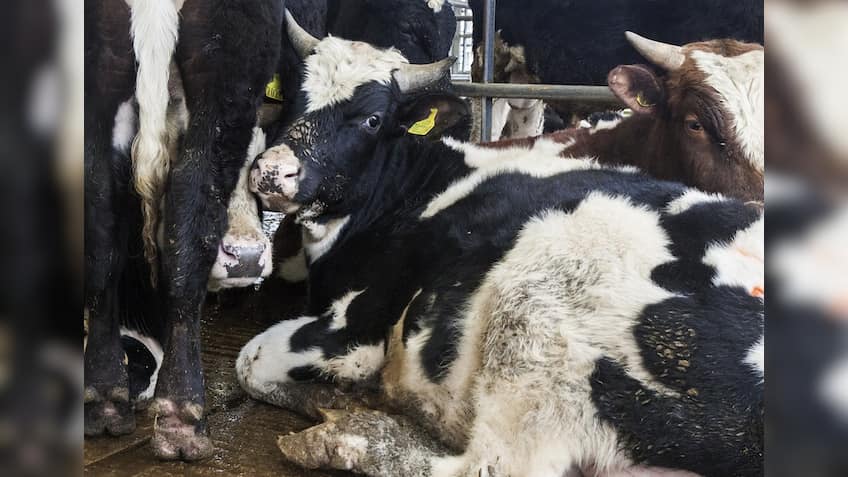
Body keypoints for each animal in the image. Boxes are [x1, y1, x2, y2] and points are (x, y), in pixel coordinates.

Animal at [84, 0, 282, 460]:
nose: (248, 260)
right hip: (224, 78)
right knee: (190, 214)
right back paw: (182, 419)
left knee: (100, 226)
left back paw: (105, 399)